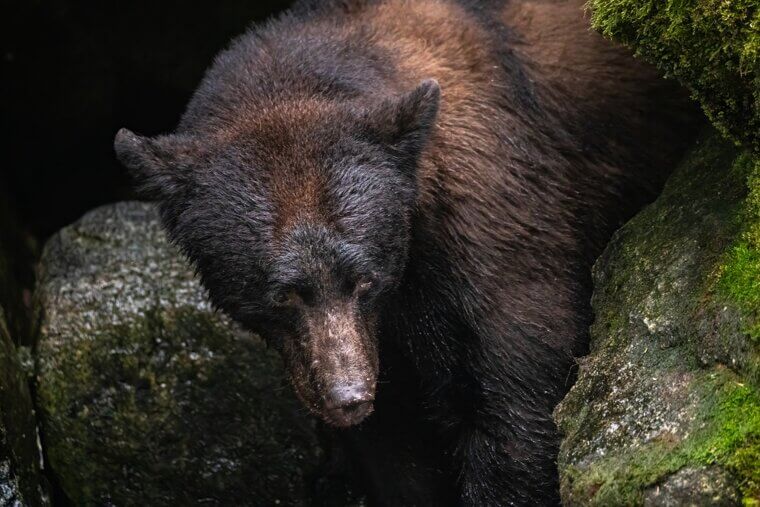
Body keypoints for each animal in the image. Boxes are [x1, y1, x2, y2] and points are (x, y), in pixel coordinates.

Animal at [114, 0, 700, 504]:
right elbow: (396, 452)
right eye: (283, 294)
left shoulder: (494, 225)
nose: (347, 396)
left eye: (363, 278)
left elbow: (517, 397)